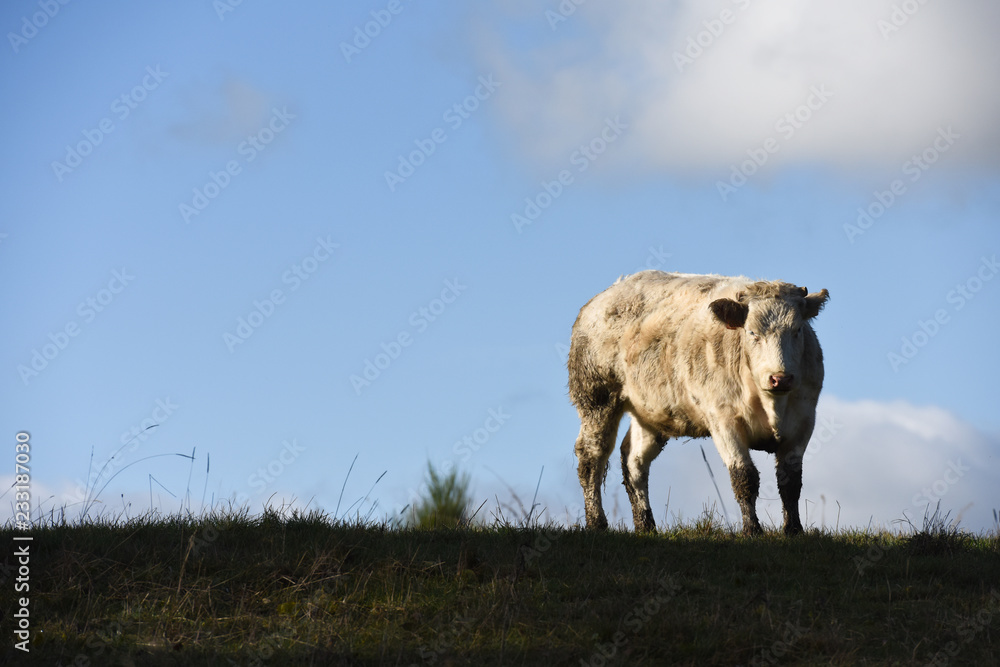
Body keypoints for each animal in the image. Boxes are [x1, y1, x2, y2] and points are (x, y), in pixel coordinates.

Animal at [568, 271, 829, 536]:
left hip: (649, 415)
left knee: (634, 461)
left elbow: (790, 482)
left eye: (797, 329)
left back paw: (646, 525)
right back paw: (597, 522)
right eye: (752, 333)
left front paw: (794, 529)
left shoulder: (804, 422)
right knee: (591, 457)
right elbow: (744, 477)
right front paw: (752, 529)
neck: (772, 406)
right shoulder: (724, 422)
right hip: (596, 399)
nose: (780, 378)